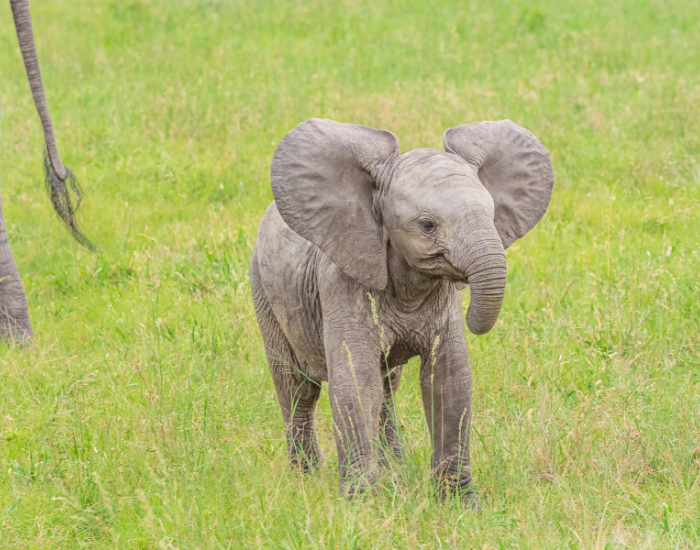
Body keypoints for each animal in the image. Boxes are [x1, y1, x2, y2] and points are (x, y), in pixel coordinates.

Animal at [250, 118, 553, 505]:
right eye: (427, 225)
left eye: (492, 214)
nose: (472, 312)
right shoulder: (342, 282)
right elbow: (355, 378)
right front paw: (363, 504)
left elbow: (449, 379)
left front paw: (461, 505)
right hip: (263, 289)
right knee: (297, 388)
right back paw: (306, 477)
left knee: (387, 388)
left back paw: (396, 469)